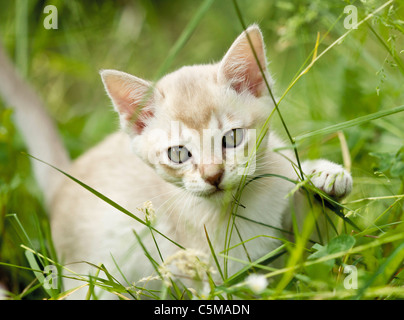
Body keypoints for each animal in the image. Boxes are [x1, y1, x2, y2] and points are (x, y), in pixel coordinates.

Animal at [0, 24, 350, 298]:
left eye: (232, 138)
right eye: (179, 154)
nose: (213, 175)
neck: (247, 201)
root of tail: (65, 177)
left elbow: (323, 249)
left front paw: (325, 176)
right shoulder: (218, 267)